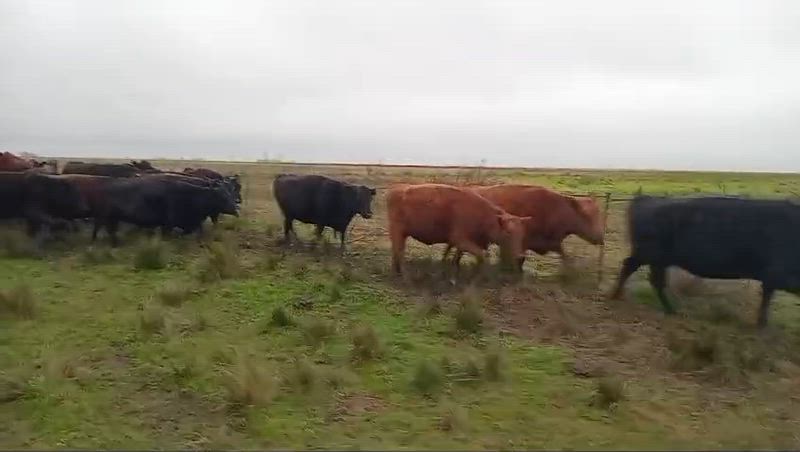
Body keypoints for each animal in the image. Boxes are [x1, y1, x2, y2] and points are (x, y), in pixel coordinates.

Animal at [92, 177, 239, 246]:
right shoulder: (168, 225)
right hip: (108, 218)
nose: (236, 209)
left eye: (230, 193)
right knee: (105, 230)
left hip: (112, 219)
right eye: (222, 196)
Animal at [386, 183, 535, 275]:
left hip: (401, 234)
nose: (520, 256)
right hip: (397, 232)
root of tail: (395, 190)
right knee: (399, 251)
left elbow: (454, 252)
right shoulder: (460, 239)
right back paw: (403, 274)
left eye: (522, 234)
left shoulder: (458, 241)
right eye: (509, 233)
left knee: (396, 251)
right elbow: (481, 256)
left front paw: (450, 265)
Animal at [443, 184, 604, 270]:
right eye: (587, 216)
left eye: (598, 214)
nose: (601, 238)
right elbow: (520, 260)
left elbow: (564, 256)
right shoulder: (523, 244)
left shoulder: (552, 243)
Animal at [609, 194, 800, 328]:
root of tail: (647, 198)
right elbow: (766, 302)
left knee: (654, 280)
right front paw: (762, 326)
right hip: (648, 255)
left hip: (659, 260)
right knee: (632, 268)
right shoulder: (775, 275)